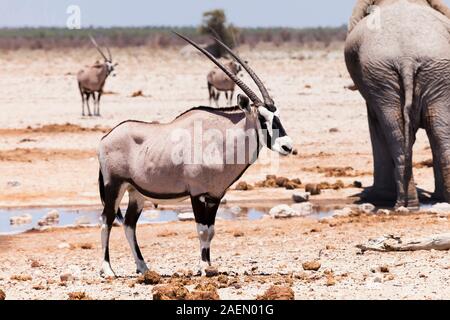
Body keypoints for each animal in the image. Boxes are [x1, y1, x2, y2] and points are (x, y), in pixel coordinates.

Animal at [97, 32, 296, 278]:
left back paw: (143, 268)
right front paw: (203, 268)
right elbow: (202, 230)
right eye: (262, 117)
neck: (220, 141)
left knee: (129, 224)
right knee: (106, 220)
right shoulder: (198, 194)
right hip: (114, 186)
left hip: (136, 192)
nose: (287, 146)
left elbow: (211, 230)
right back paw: (108, 269)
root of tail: (106, 138)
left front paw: (209, 266)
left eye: (277, 115)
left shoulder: (215, 195)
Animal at [346, 0, 450, 208]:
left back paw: (398, 202)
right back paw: (413, 204)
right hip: (419, 73)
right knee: (434, 132)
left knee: (394, 132)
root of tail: (406, 58)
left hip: (397, 73)